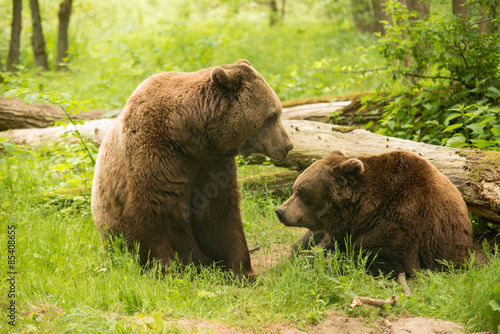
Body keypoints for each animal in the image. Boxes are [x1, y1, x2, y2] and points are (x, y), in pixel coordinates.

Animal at [92, 60, 292, 280]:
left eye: (278, 112)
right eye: (272, 116)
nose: (288, 146)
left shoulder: (212, 164)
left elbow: (219, 214)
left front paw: (241, 270)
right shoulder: (154, 153)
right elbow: (156, 213)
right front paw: (173, 269)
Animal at [276, 151, 474, 276]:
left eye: (301, 192)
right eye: (294, 188)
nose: (280, 211)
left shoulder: (402, 221)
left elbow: (374, 258)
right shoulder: (342, 231)